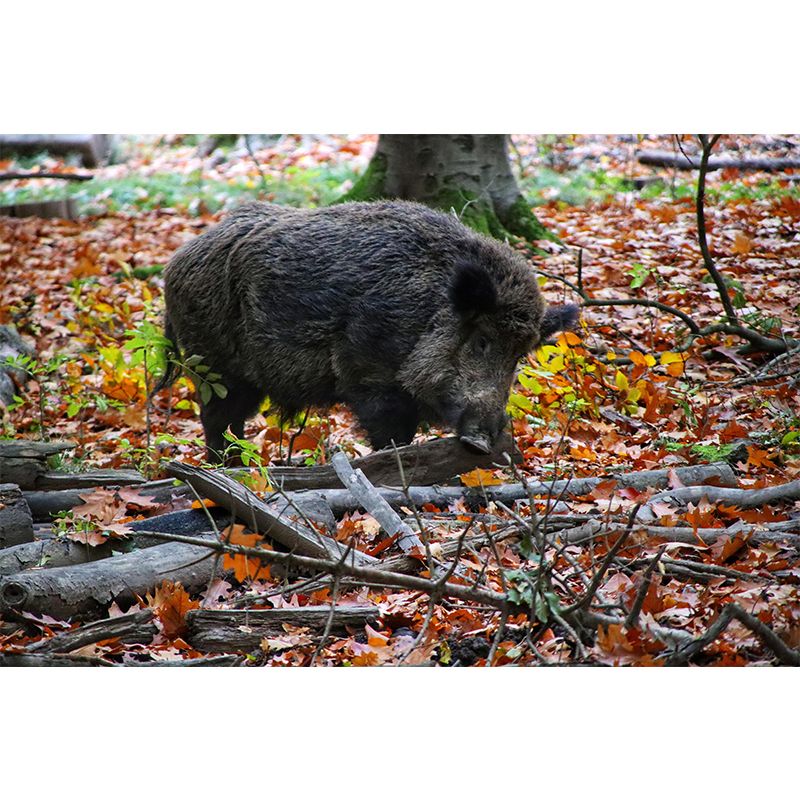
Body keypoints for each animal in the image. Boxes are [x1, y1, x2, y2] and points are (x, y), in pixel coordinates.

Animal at [155, 200, 578, 462]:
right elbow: (391, 435)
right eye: (482, 341)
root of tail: (175, 262)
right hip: (213, 365)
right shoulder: (369, 374)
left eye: (518, 357)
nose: (480, 442)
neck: (426, 312)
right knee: (217, 420)